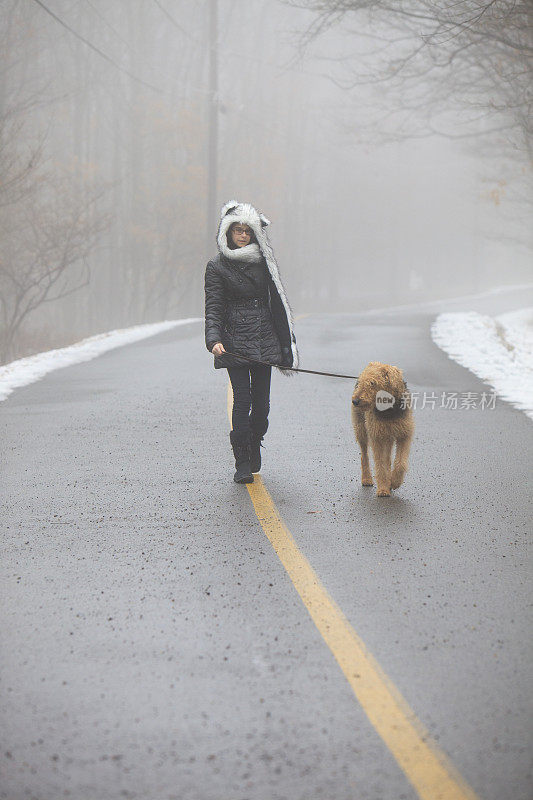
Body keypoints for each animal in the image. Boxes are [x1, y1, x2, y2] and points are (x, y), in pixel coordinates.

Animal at [352, 360, 414, 494]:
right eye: (362, 381)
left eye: (372, 383)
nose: (355, 401)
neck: (388, 409)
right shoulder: (377, 437)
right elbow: (380, 465)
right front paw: (383, 489)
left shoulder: (404, 435)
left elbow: (400, 463)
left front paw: (395, 482)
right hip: (362, 431)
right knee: (364, 456)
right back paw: (367, 479)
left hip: (388, 437)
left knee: (388, 459)